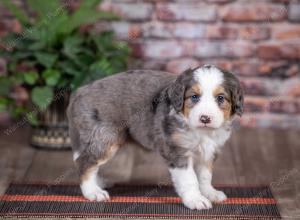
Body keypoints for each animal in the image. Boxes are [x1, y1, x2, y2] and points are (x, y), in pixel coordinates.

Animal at [67, 64, 243, 210]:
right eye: (194, 97)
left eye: (220, 98)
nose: (205, 118)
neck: (201, 132)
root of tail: (80, 91)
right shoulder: (177, 151)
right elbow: (189, 178)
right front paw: (195, 199)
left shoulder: (209, 151)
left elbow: (205, 175)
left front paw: (209, 193)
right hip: (106, 138)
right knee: (84, 162)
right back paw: (93, 192)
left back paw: (99, 183)